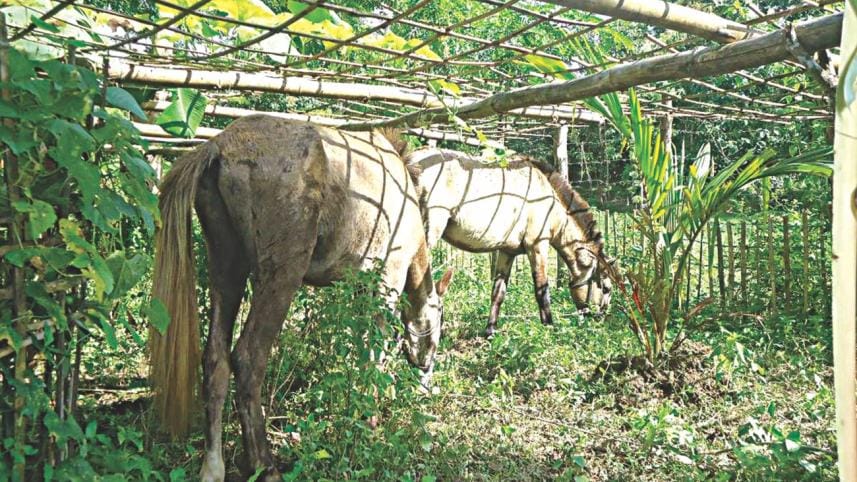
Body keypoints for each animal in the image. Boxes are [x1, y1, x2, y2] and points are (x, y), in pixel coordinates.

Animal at [149, 115, 453, 482]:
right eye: (439, 325)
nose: (426, 371)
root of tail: (219, 145)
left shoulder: (360, 290)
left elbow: (363, 351)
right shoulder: (386, 286)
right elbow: (375, 354)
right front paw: (371, 421)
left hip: (227, 268)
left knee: (216, 362)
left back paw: (213, 465)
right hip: (280, 276)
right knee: (248, 359)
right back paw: (265, 466)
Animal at [406, 148, 612, 337]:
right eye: (605, 288)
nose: (601, 318)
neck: (549, 197)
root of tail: (409, 161)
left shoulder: (507, 253)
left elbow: (498, 293)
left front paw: (490, 331)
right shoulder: (537, 247)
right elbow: (542, 291)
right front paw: (549, 328)